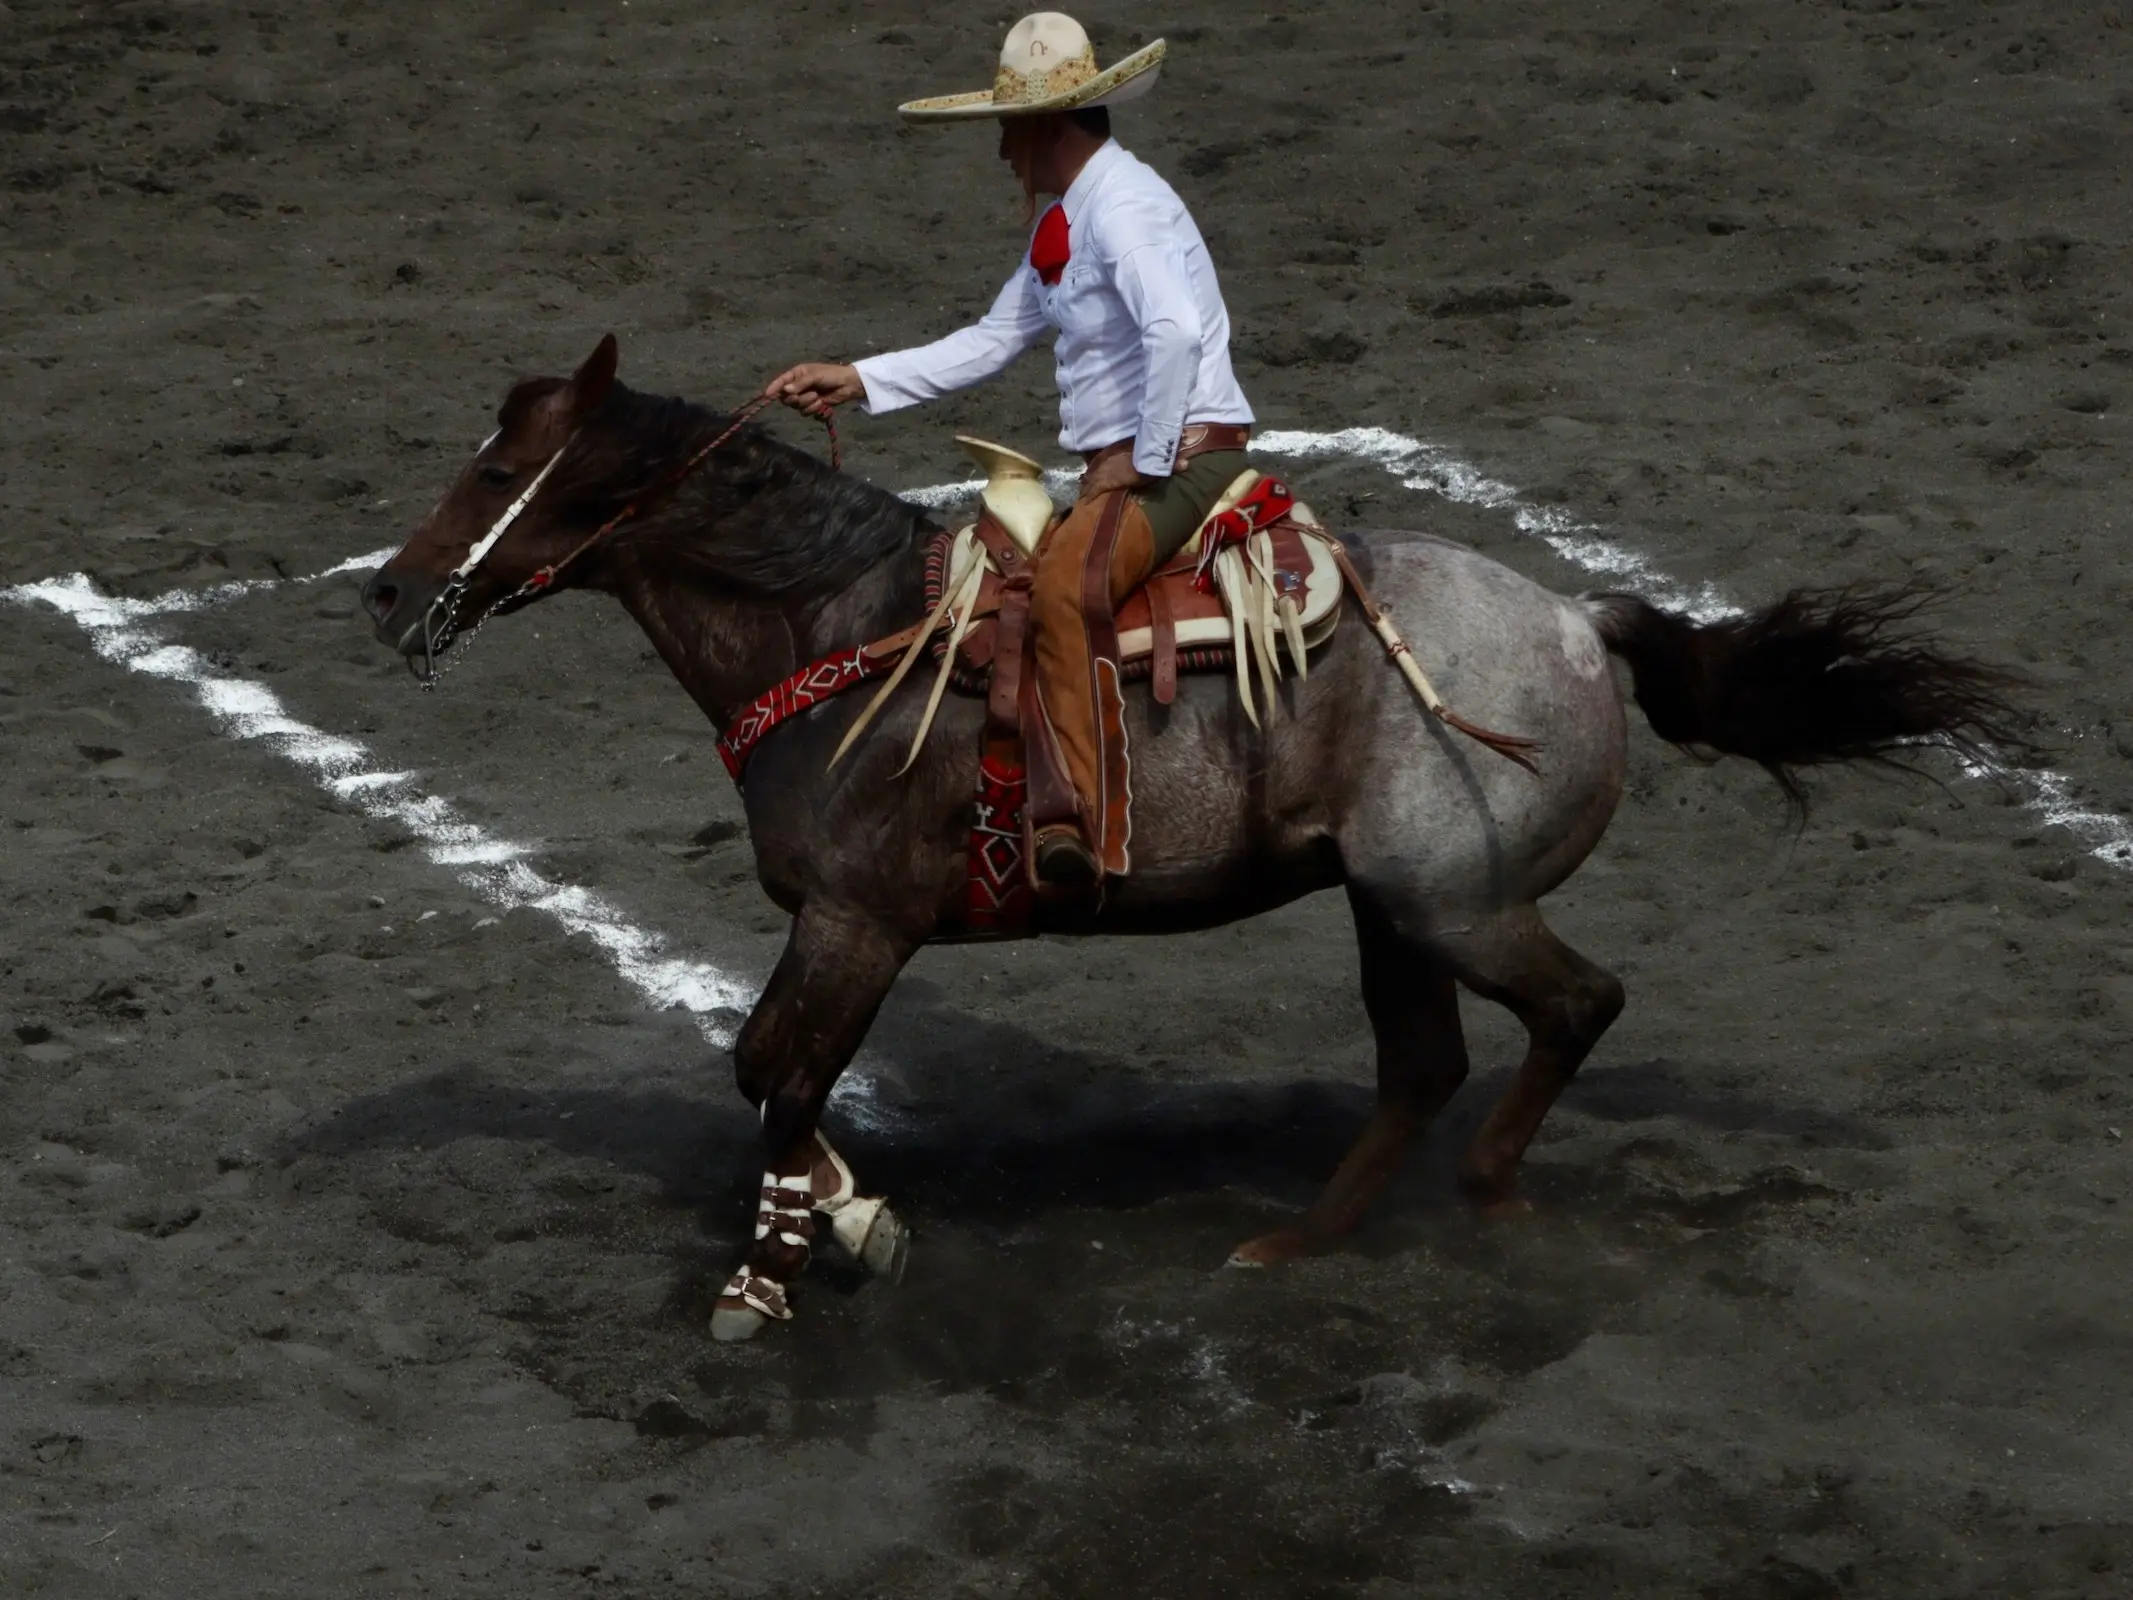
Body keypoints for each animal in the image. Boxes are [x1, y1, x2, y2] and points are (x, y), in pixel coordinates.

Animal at [358, 334, 2022, 1339]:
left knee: (1574, 1007)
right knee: (1424, 1063)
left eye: (500, 473)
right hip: (1384, 909)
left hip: (1451, 901)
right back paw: (1295, 1245)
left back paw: (1485, 1198)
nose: (387, 594)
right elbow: (770, 1075)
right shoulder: (835, 930)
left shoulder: (856, 925)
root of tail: (1575, 616)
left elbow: (777, 1076)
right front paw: (851, 1220)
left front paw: (779, 1274)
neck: (837, 632)